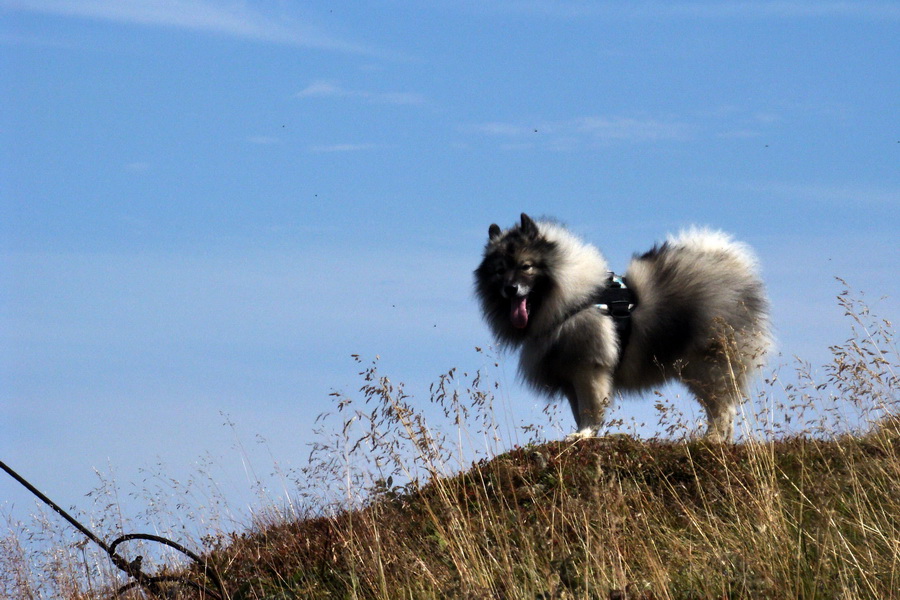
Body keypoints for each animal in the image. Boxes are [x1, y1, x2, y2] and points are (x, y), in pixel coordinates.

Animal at [474, 212, 768, 440]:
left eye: (526, 266)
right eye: (499, 271)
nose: (510, 289)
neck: (572, 299)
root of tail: (734, 270)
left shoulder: (589, 369)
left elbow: (590, 409)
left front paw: (584, 435)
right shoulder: (570, 377)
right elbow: (579, 411)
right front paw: (584, 433)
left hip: (705, 366)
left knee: (722, 409)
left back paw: (712, 439)